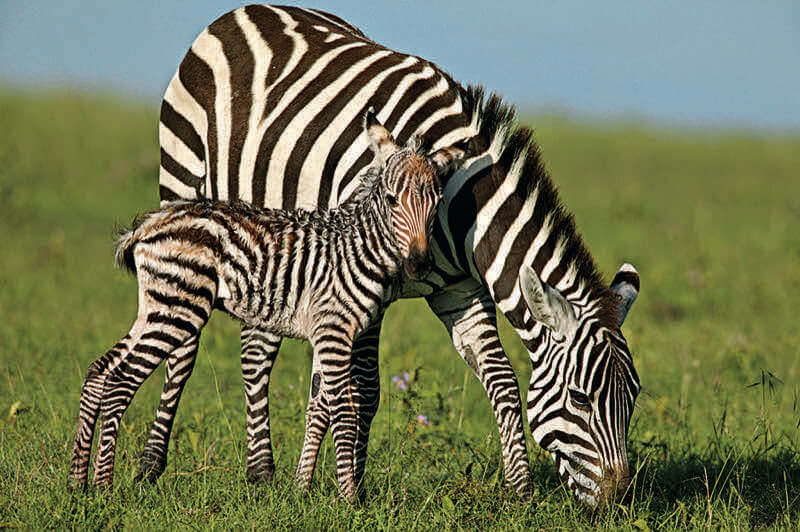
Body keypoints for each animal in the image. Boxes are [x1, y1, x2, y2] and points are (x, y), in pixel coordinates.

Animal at [69, 109, 466, 500]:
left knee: (100, 371)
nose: (419, 264)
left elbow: (320, 404)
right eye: (392, 200)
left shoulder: (329, 332)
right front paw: (349, 499)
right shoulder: (334, 330)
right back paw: (103, 487)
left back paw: (78, 483)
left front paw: (303, 490)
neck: (358, 247)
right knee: (120, 380)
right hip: (178, 308)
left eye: (437, 204)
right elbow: (344, 408)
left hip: (155, 307)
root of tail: (152, 222)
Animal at [153, 5, 641, 507]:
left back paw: (262, 473)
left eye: (634, 398)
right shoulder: (362, 282)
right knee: (185, 344)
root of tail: (247, 10)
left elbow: (501, 379)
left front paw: (519, 492)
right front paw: (352, 491)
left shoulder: (459, 290)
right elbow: (363, 391)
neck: (459, 208)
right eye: (581, 398)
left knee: (257, 347)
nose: (619, 500)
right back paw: (164, 466)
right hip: (183, 188)